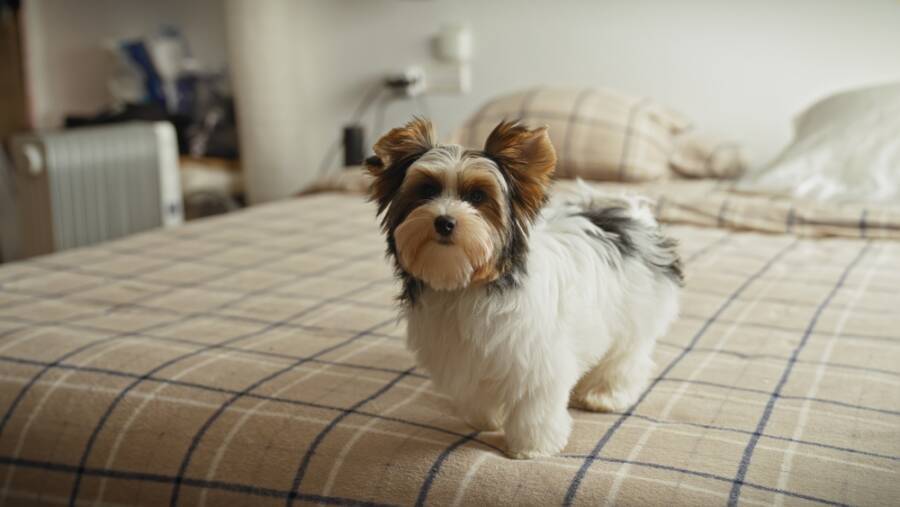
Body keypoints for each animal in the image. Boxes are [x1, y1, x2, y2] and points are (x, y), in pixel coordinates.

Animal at [362, 119, 680, 460]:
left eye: (477, 196)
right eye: (426, 191)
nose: (444, 221)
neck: (471, 282)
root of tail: (623, 213)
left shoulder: (537, 357)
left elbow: (533, 403)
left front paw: (532, 447)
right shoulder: (464, 352)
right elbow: (477, 390)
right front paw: (485, 418)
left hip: (635, 313)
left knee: (627, 357)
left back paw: (604, 394)